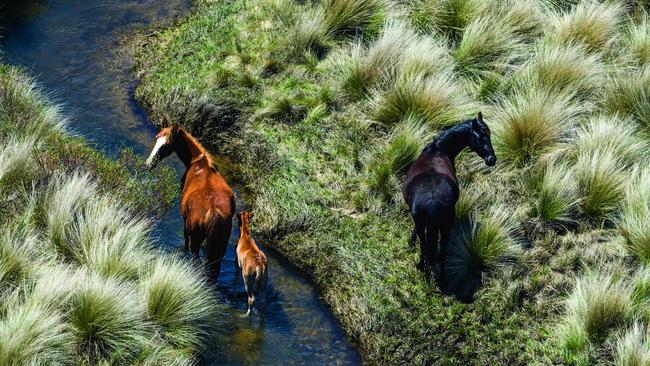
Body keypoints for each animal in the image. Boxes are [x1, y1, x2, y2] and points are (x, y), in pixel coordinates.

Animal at [146, 121, 234, 278]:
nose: (149, 163)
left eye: (165, 145)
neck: (198, 163)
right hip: (220, 246)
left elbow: (185, 237)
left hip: (196, 241)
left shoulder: (185, 220)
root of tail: (213, 214)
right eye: (156, 138)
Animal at [400, 112, 496, 286]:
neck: (437, 150)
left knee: (428, 247)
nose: (492, 159)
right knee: (438, 250)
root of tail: (433, 200)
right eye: (480, 136)